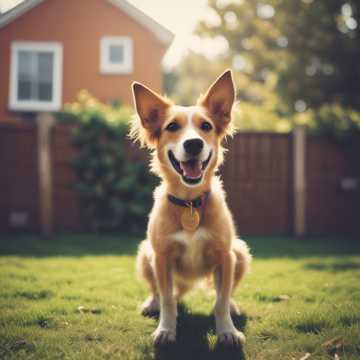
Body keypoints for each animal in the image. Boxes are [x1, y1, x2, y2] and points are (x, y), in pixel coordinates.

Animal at [131, 69, 252, 348]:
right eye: (172, 127)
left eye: (206, 126)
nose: (194, 144)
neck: (189, 202)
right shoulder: (161, 256)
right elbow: (167, 299)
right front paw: (166, 330)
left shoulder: (225, 255)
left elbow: (220, 301)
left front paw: (227, 331)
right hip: (145, 254)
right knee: (160, 292)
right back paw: (151, 303)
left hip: (240, 252)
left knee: (225, 293)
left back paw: (233, 306)